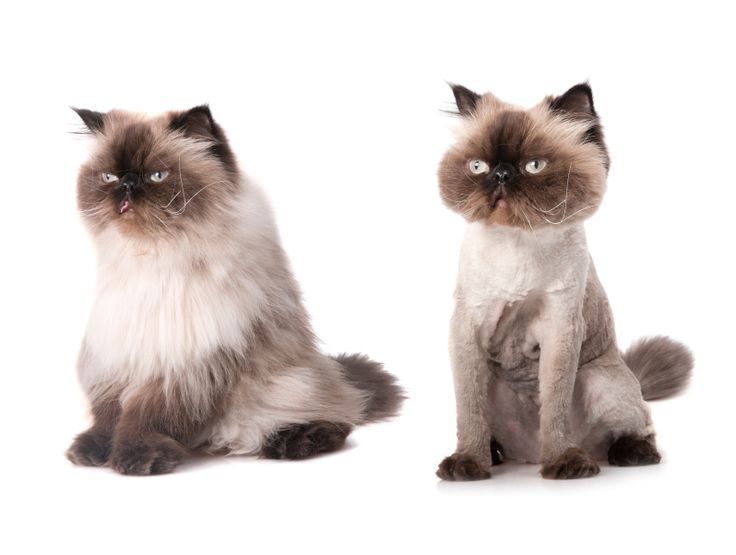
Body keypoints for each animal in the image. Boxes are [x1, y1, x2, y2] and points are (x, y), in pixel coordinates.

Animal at [66, 106, 406, 476]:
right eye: (109, 178)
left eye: (157, 176)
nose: (126, 187)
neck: (152, 258)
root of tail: (336, 373)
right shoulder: (117, 352)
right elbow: (109, 415)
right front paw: (92, 451)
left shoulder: (188, 361)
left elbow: (146, 417)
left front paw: (136, 458)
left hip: (286, 386)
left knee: (335, 415)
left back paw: (297, 441)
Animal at [434, 83, 692, 482]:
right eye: (478, 167)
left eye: (534, 166)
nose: (502, 175)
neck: (517, 242)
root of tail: (527, 455)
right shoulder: (469, 327)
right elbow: (469, 413)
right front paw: (468, 464)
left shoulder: (559, 326)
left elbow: (554, 404)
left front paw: (562, 463)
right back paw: (495, 455)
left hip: (600, 378)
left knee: (641, 426)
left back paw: (625, 454)